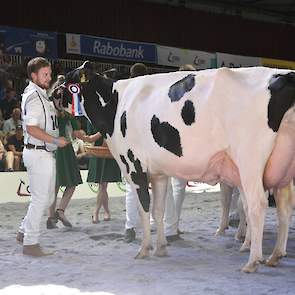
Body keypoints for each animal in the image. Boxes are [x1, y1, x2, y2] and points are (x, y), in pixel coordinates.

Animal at [57, 63, 295, 274]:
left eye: (66, 81)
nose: (51, 94)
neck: (116, 104)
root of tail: (285, 74)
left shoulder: (134, 166)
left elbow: (144, 208)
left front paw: (144, 249)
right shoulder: (159, 174)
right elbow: (158, 210)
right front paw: (161, 248)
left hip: (249, 162)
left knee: (257, 205)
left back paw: (253, 261)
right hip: (282, 168)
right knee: (283, 208)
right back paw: (275, 256)